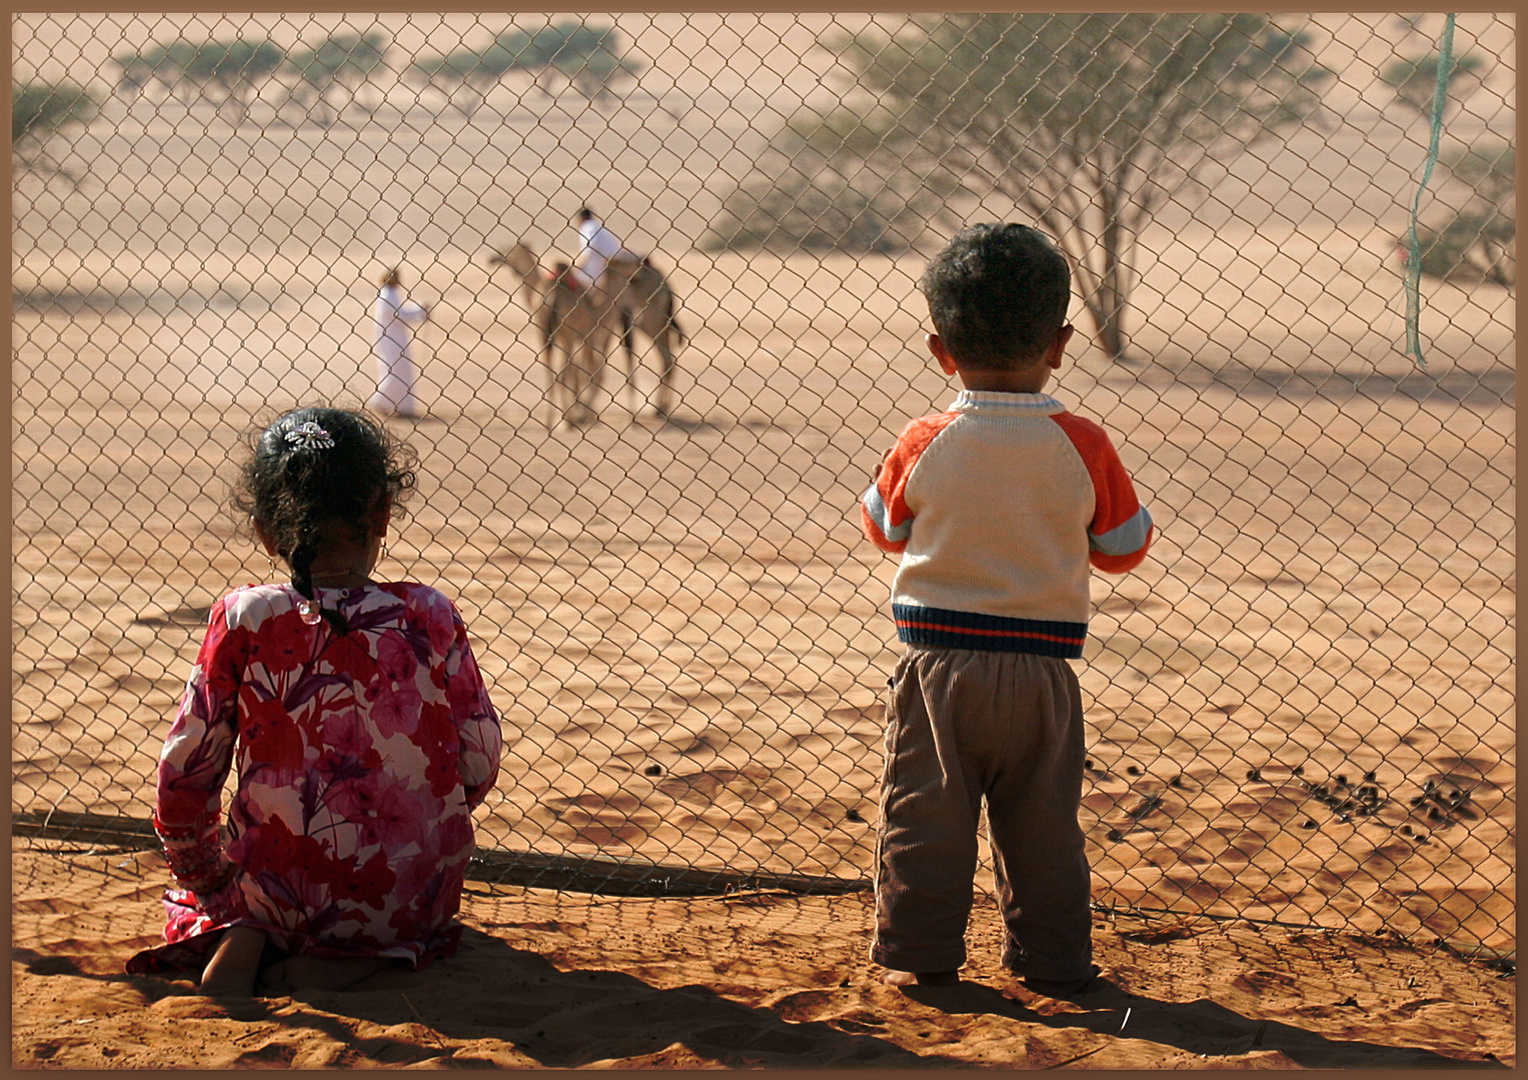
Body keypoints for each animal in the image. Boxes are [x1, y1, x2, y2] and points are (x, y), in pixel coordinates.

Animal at [485, 242, 611, 427]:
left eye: (506, 249)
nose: (492, 258)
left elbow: (578, 374)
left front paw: (579, 414)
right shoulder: (578, 337)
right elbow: (578, 374)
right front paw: (579, 414)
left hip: (554, 333)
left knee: (558, 372)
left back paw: (557, 419)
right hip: (567, 334)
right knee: (571, 373)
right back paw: (566, 418)